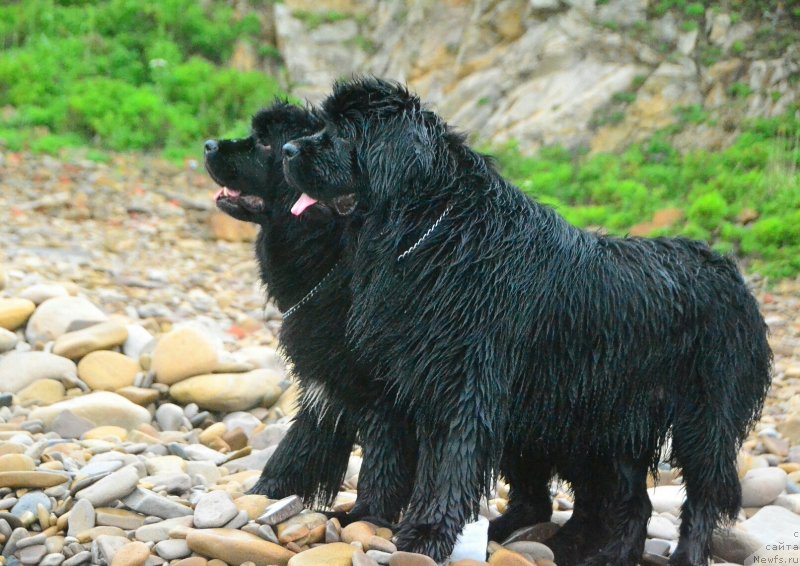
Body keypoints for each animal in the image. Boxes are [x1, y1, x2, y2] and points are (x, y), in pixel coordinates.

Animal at [205, 101, 418, 524]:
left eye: (265, 143)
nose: (208, 144)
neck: (334, 253)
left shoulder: (385, 395)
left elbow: (382, 460)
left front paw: (364, 519)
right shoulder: (323, 382)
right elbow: (298, 447)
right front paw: (263, 494)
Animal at [282, 77, 776, 564]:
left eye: (344, 132)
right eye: (321, 124)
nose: (287, 149)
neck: (432, 232)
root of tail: (731, 272)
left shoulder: (466, 384)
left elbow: (449, 465)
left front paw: (427, 535)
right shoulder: (414, 383)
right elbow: (413, 463)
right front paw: (373, 522)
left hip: (702, 414)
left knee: (702, 492)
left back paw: (682, 555)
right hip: (607, 421)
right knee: (628, 500)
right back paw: (596, 554)